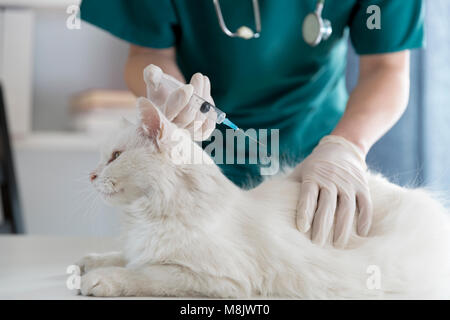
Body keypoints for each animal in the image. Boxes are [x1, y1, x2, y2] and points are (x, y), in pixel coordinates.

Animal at [77, 96, 450, 298]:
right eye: (104, 157)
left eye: (114, 157)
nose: (91, 175)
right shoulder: (139, 249)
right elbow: (122, 257)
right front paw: (89, 262)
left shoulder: (213, 278)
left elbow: (143, 274)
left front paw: (98, 280)